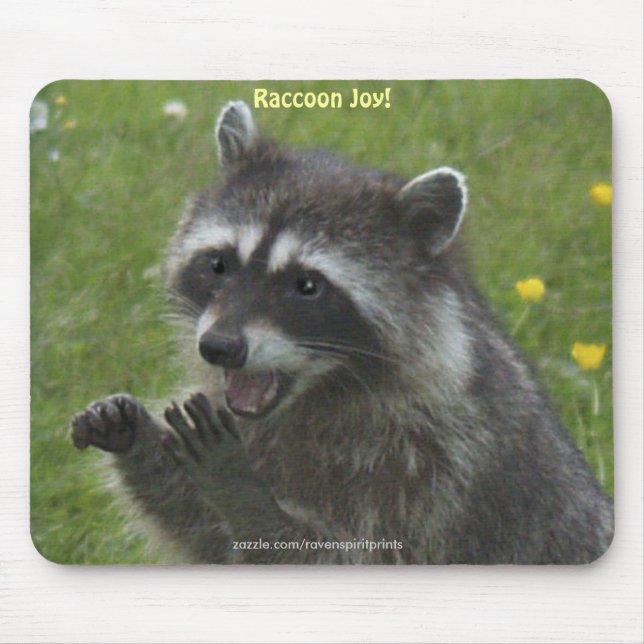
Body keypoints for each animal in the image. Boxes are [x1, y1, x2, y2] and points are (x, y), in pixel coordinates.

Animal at [71, 100, 614, 564]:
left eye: (307, 286)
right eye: (219, 264)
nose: (220, 347)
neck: (316, 394)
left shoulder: (432, 469)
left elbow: (341, 553)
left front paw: (242, 493)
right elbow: (206, 536)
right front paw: (139, 439)